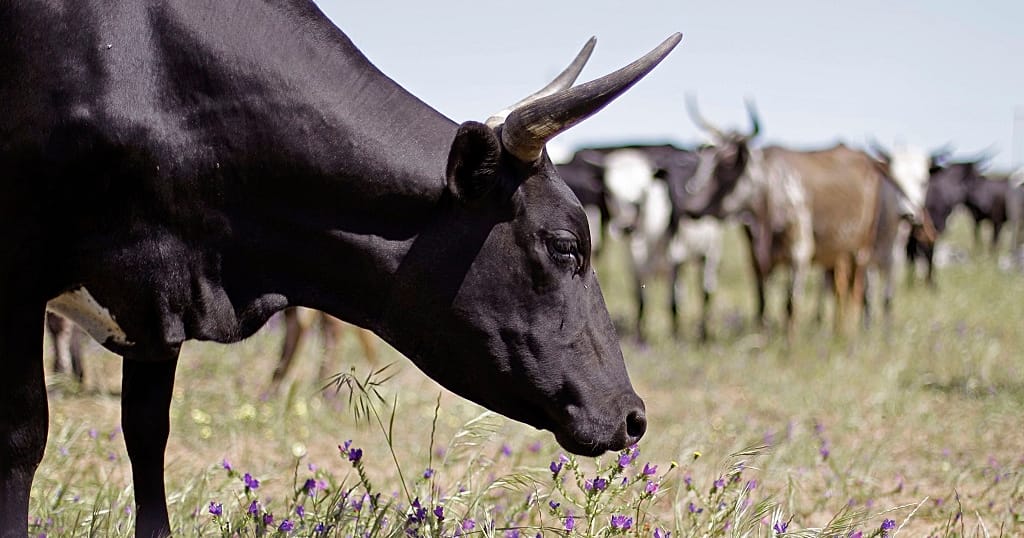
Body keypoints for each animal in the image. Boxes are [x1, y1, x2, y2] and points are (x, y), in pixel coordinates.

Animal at [0, 2, 682, 535]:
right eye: (565, 246)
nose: (633, 416)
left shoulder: (158, 297)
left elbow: (147, 436)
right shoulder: (21, 278)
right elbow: (22, 437)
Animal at [683, 99, 887, 338]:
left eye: (725, 166)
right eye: (706, 163)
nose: (691, 206)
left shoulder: (800, 253)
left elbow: (790, 303)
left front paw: (790, 342)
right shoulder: (756, 259)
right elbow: (761, 302)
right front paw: (761, 337)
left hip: (861, 248)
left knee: (855, 290)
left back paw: (851, 334)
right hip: (837, 253)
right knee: (840, 288)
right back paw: (837, 332)